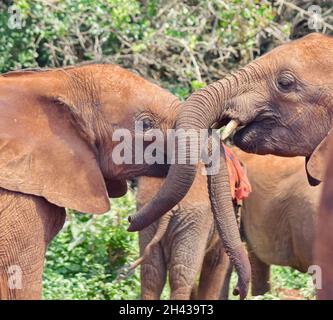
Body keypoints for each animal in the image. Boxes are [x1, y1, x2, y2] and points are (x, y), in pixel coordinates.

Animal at [130, 146, 249, 300]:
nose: (237, 291)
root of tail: (170, 210)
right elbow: (216, 262)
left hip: (149, 218)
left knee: (152, 273)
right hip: (194, 221)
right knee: (182, 274)